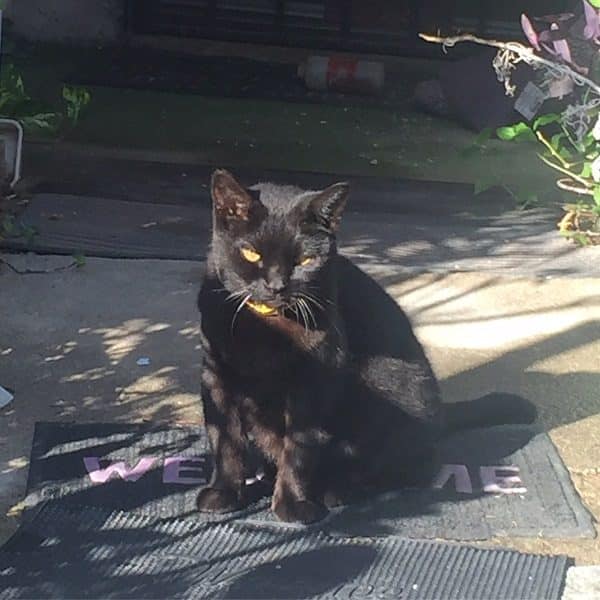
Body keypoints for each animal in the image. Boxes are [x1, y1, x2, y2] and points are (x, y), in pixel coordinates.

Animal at [196, 170, 536, 524]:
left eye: (305, 260)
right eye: (252, 254)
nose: (276, 286)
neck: (266, 328)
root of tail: (441, 415)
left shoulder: (314, 381)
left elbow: (299, 446)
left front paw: (293, 504)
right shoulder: (215, 374)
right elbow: (224, 439)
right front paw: (223, 493)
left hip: (380, 380)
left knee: (416, 465)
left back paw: (339, 489)